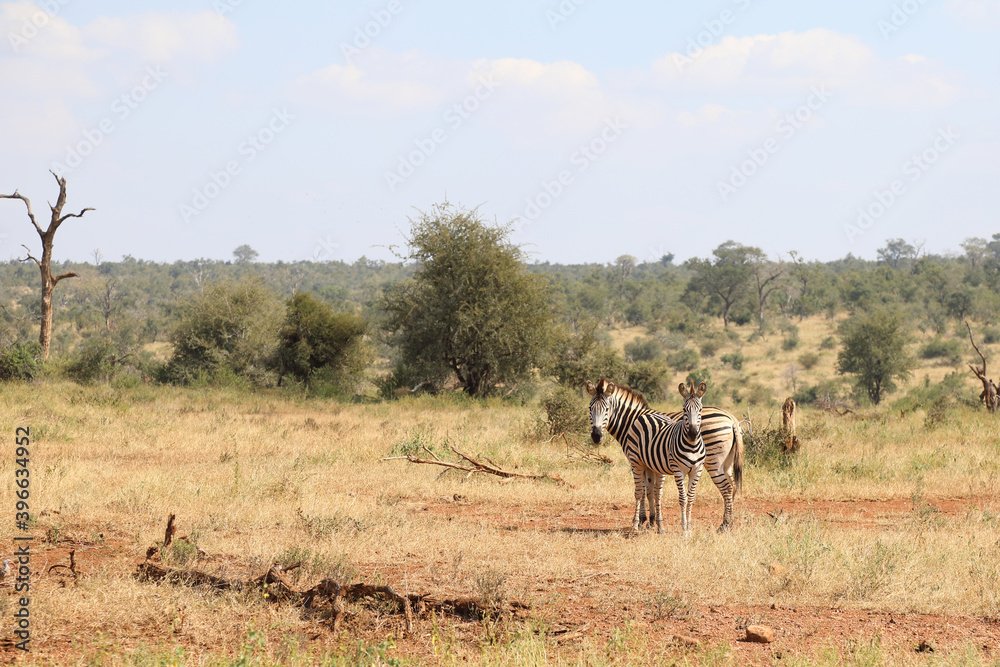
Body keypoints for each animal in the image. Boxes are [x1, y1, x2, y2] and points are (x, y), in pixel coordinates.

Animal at [586, 377, 707, 536]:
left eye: (606, 409)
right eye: (590, 409)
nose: (596, 436)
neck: (631, 420)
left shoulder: (637, 461)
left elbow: (645, 490)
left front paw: (644, 520)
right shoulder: (651, 463)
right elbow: (650, 491)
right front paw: (651, 521)